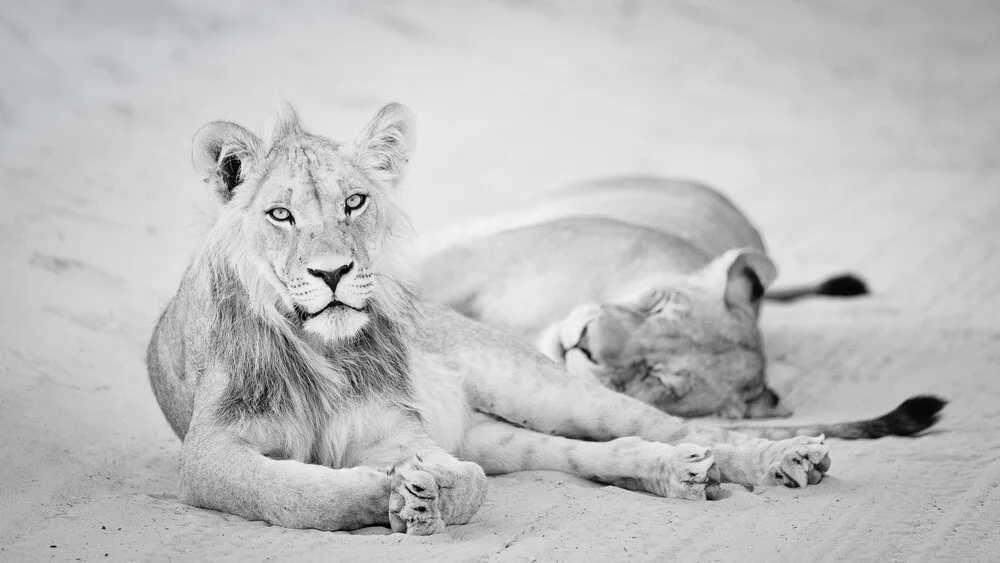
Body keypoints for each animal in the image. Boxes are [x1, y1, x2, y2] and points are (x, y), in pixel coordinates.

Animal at [146, 103, 844, 536]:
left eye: (355, 202)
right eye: (280, 214)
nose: (333, 272)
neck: (319, 348)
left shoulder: (392, 429)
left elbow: (464, 483)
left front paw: (419, 495)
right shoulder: (210, 452)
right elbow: (292, 494)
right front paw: (395, 496)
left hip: (540, 388)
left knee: (684, 429)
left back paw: (786, 458)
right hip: (504, 435)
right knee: (603, 453)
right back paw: (677, 474)